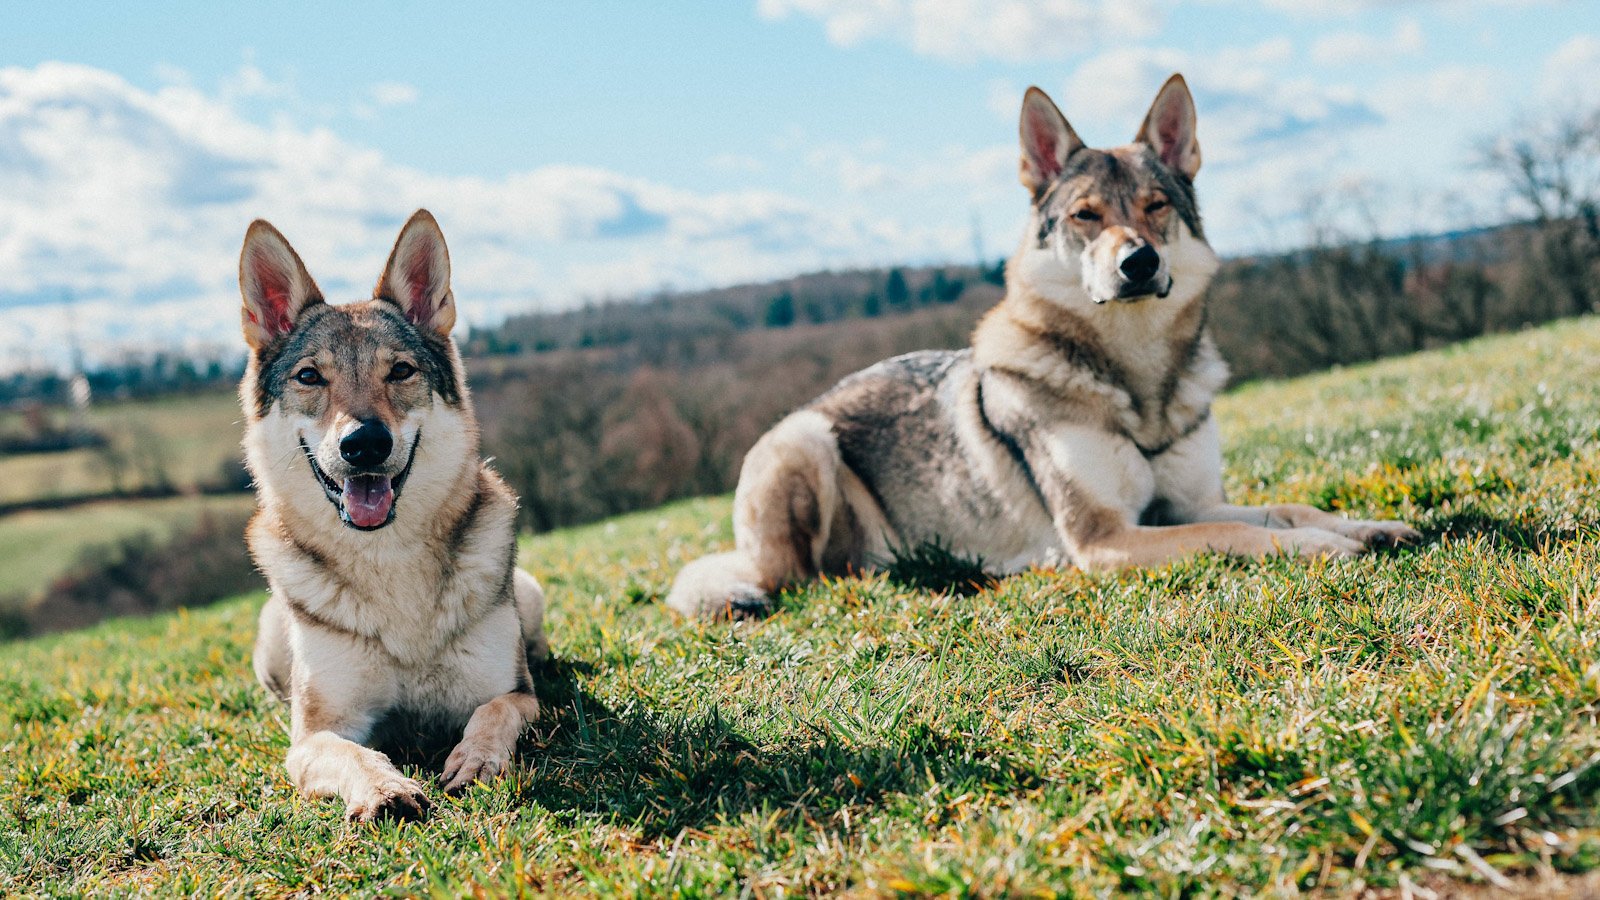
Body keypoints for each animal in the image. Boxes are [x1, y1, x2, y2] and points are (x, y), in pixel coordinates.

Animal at [241, 206, 550, 816]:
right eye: (310, 376)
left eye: (400, 371)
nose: (364, 443)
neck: (389, 562)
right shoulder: (314, 736)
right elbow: (353, 753)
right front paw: (385, 789)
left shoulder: (517, 695)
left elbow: (493, 712)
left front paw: (476, 759)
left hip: (529, 594)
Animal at [668, 73, 1420, 614]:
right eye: (1086, 216)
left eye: (1156, 206)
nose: (1139, 262)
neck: (1136, 381)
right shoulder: (1105, 539)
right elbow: (1244, 533)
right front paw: (1320, 545)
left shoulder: (1187, 505)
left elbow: (1287, 508)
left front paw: (1364, 526)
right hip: (802, 443)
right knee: (810, 579)